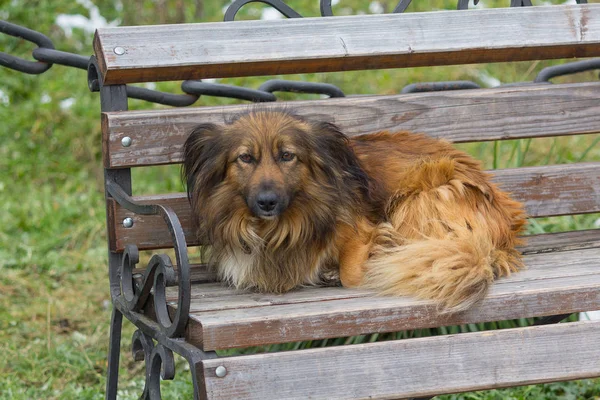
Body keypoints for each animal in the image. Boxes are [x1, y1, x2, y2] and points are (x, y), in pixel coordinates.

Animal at [183, 110, 524, 312]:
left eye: (287, 156)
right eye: (245, 158)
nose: (267, 202)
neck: (281, 226)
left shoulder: (362, 229)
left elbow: (353, 273)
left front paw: (364, 262)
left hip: (423, 194)